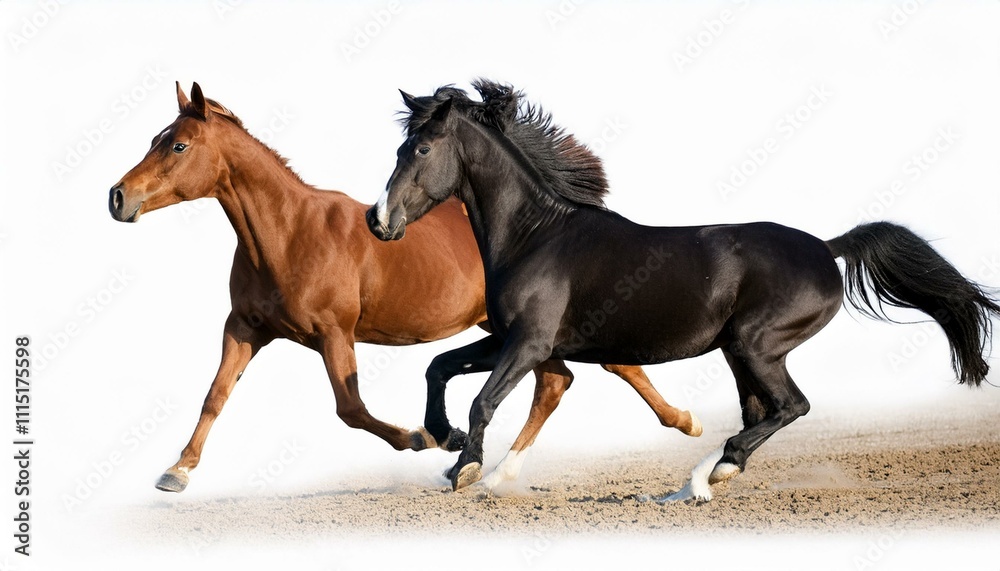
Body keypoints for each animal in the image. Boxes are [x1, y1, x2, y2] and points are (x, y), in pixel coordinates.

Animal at [108, 82, 700, 493]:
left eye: (179, 146)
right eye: (156, 139)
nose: (117, 197)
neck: (288, 233)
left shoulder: (334, 334)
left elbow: (351, 409)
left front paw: (427, 438)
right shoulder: (245, 329)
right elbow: (215, 396)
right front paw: (178, 471)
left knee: (601, 367)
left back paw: (685, 423)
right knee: (559, 381)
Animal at [366, 80, 999, 501]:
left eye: (420, 150)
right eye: (397, 149)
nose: (379, 221)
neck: (534, 237)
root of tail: (826, 247)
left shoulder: (529, 343)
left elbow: (484, 399)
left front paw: (466, 467)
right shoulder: (515, 342)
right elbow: (440, 368)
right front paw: (444, 441)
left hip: (755, 345)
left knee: (790, 406)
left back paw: (710, 472)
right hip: (741, 353)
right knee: (760, 410)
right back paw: (706, 477)